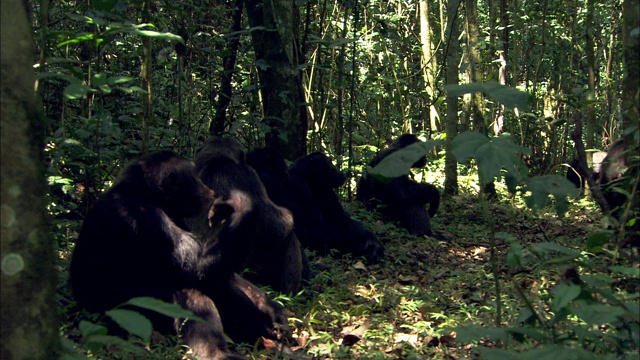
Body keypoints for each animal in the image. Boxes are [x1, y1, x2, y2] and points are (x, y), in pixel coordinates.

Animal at [70, 150, 276, 358]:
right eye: (193, 177)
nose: (207, 188)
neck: (146, 196)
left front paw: (270, 308)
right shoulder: (153, 223)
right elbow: (197, 269)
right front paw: (242, 204)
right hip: (131, 318)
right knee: (189, 290)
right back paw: (215, 352)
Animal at [248, 150, 382, 262]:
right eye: (329, 163)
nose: (337, 169)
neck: (313, 181)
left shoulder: (328, 192)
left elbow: (341, 219)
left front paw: (372, 241)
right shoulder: (299, 187)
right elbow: (318, 227)